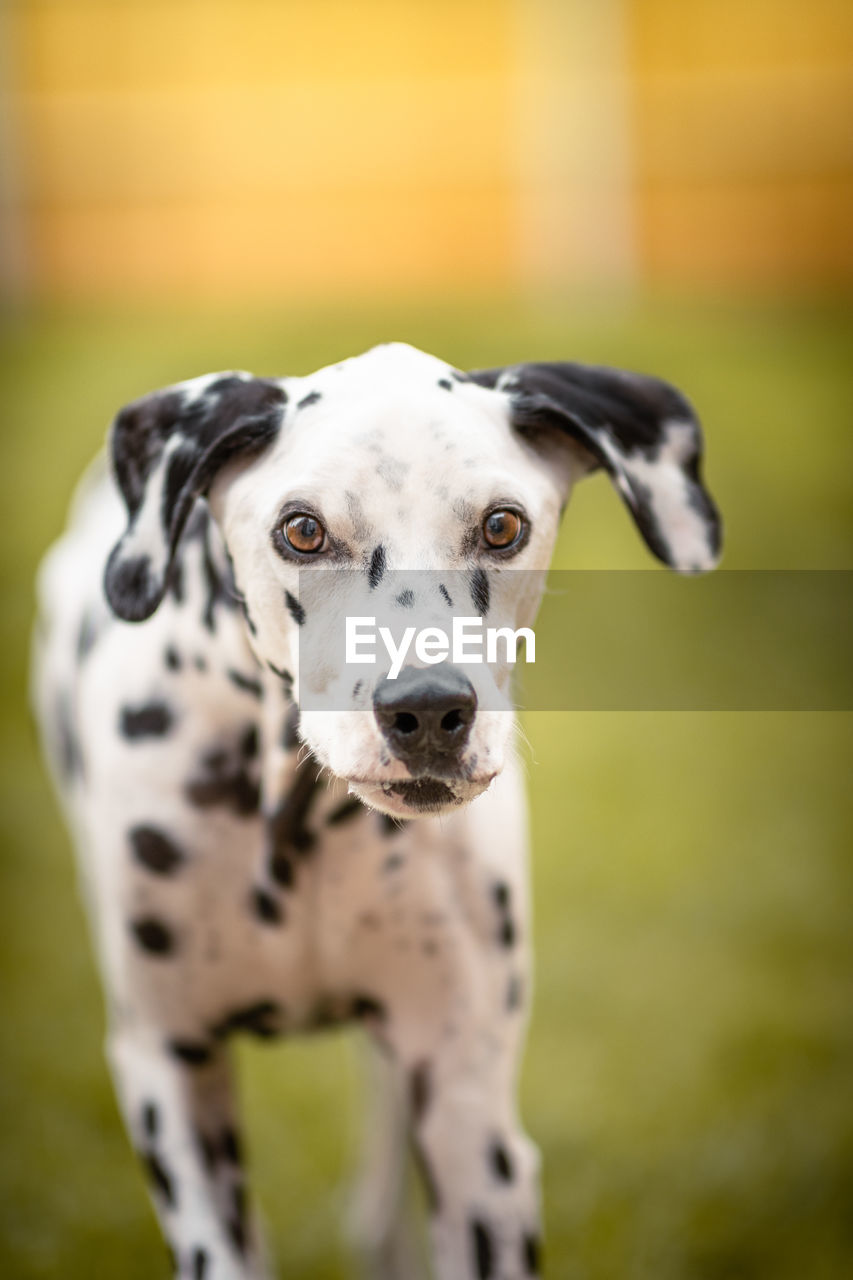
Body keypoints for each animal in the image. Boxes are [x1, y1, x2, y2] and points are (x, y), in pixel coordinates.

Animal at [34, 343, 717, 1280]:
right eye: (302, 529)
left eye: (500, 526)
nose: (427, 710)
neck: (298, 826)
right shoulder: (172, 1073)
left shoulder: (471, 1123)